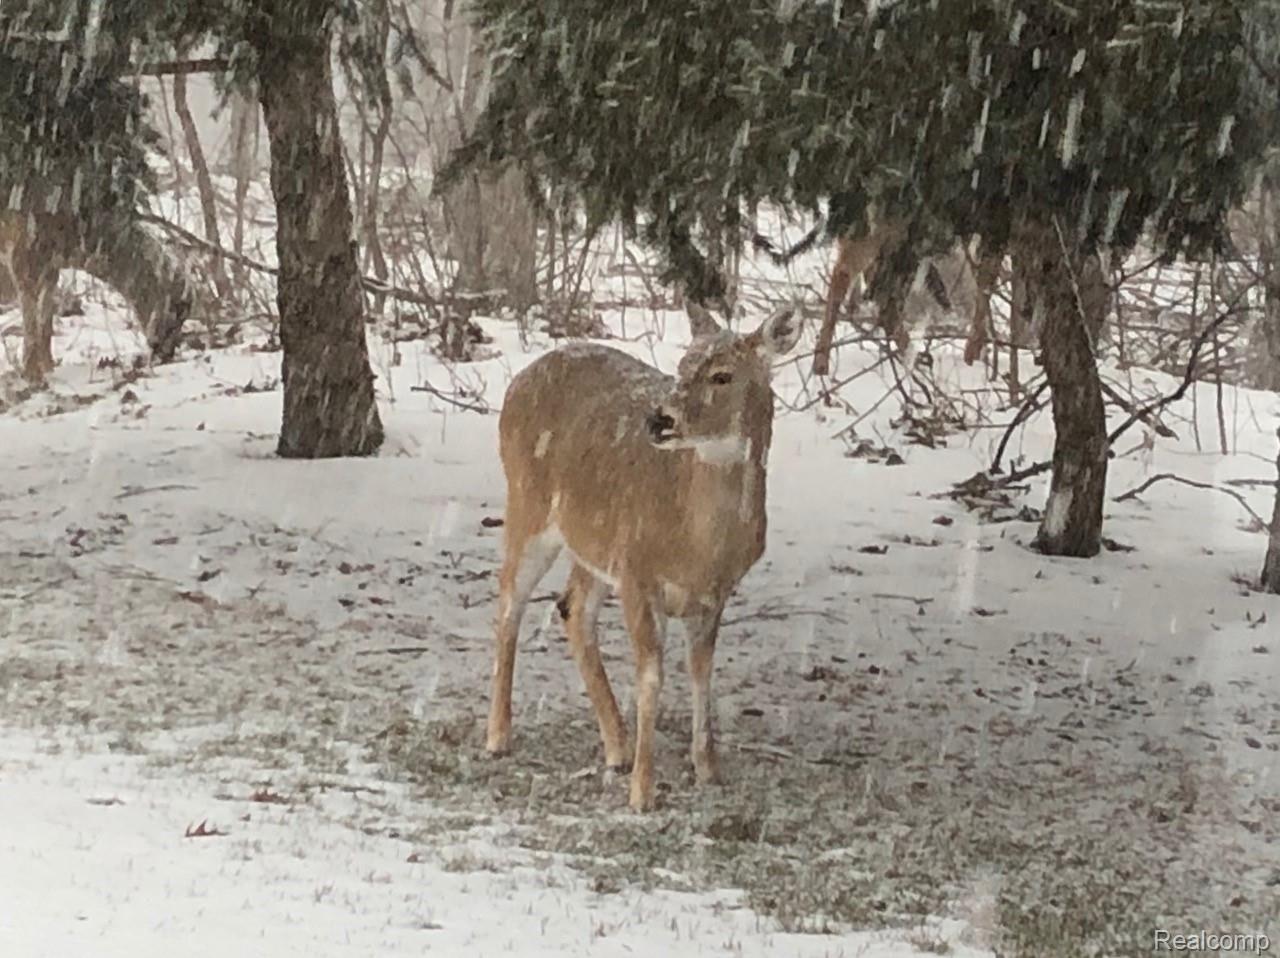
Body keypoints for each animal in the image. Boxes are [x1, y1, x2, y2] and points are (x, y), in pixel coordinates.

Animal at [486, 301, 802, 811]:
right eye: (682, 366)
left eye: (722, 375)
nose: (660, 421)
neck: (698, 545)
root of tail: (520, 378)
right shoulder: (637, 571)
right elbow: (651, 675)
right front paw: (643, 791)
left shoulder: (714, 593)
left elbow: (701, 672)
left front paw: (708, 769)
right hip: (528, 503)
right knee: (510, 600)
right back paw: (498, 736)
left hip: (593, 541)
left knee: (572, 607)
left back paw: (616, 746)